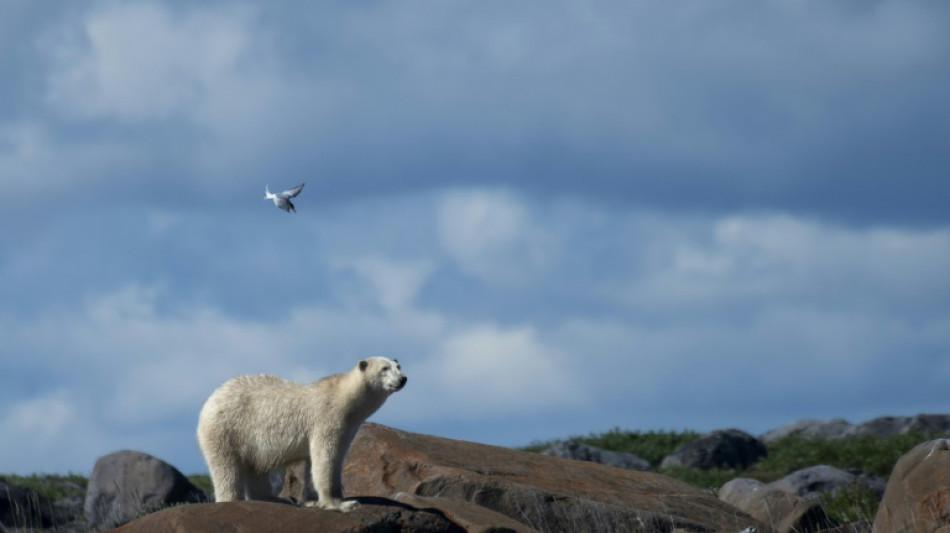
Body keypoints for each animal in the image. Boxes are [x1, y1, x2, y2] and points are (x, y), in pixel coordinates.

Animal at [196, 357, 407, 512]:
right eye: (384, 368)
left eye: (398, 366)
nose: (403, 379)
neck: (343, 397)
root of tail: (209, 401)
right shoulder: (327, 419)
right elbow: (326, 458)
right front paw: (342, 503)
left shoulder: (347, 427)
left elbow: (314, 463)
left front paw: (312, 501)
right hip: (227, 429)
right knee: (226, 467)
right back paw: (233, 499)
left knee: (255, 468)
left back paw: (276, 499)